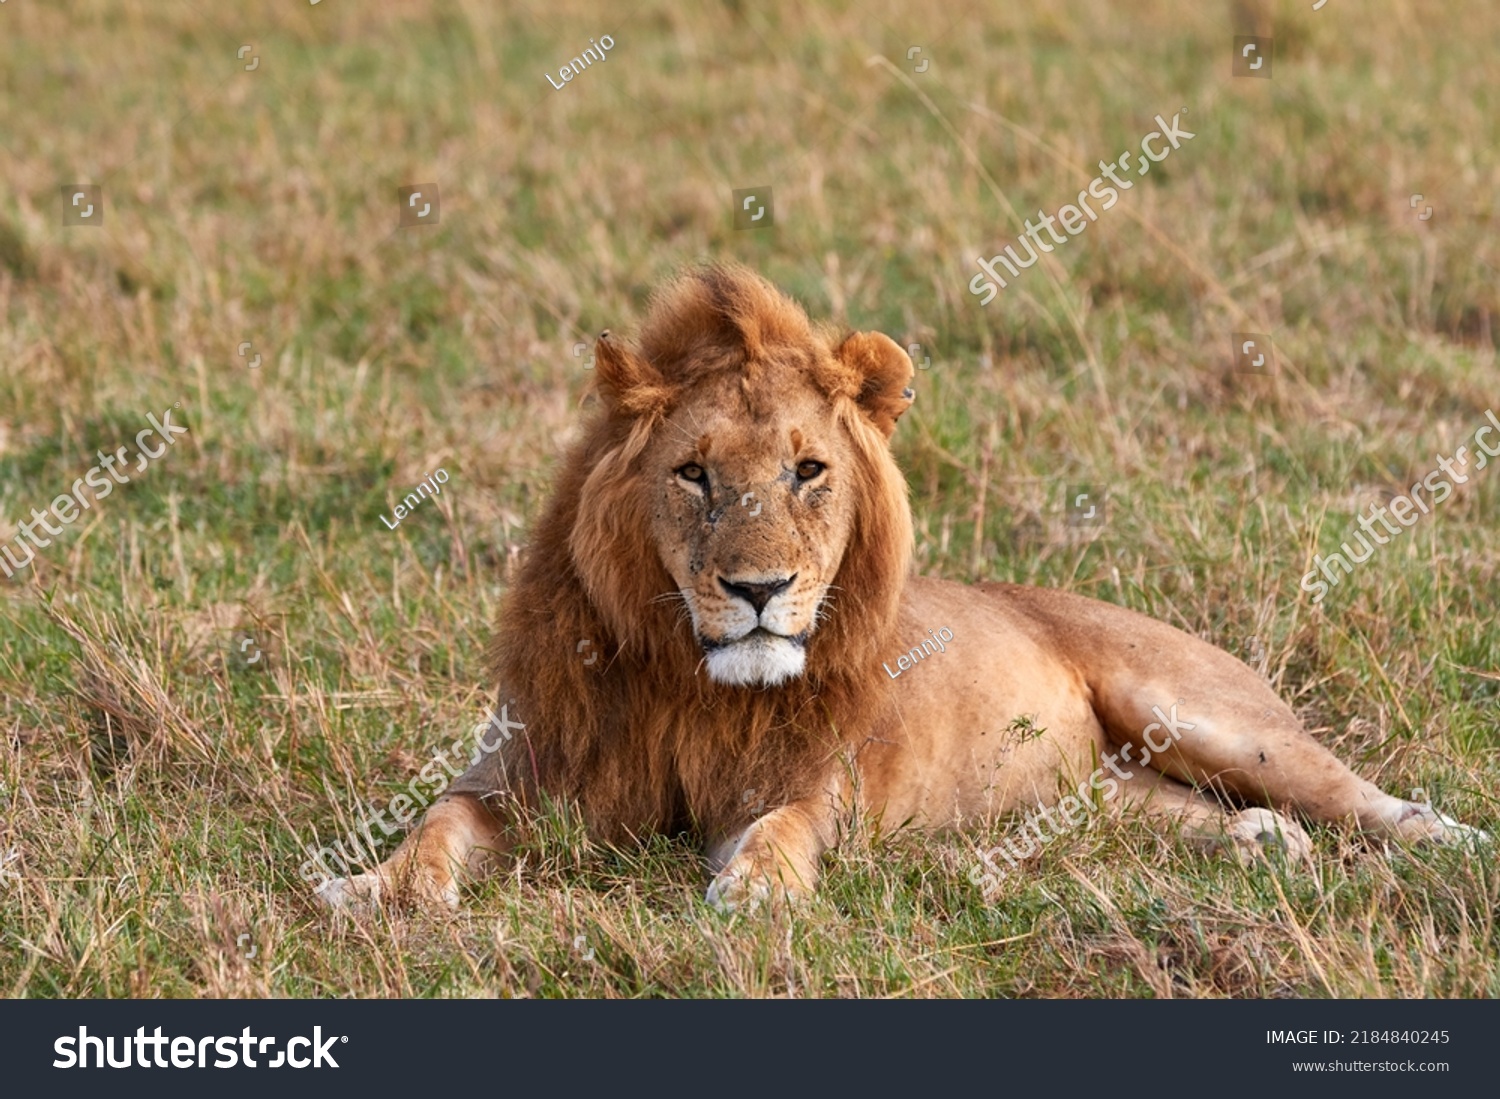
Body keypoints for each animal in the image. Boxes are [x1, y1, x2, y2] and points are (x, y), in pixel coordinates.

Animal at [313, 263, 1476, 911]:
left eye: (808, 470)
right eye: (693, 474)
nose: (759, 588)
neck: (693, 681)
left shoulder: (813, 780)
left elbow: (784, 827)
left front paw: (755, 890)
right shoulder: (521, 772)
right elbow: (437, 824)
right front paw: (372, 888)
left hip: (1206, 711)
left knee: (1364, 796)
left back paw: (1451, 843)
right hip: (1101, 793)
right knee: (1179, 812)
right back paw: (1258, 843)